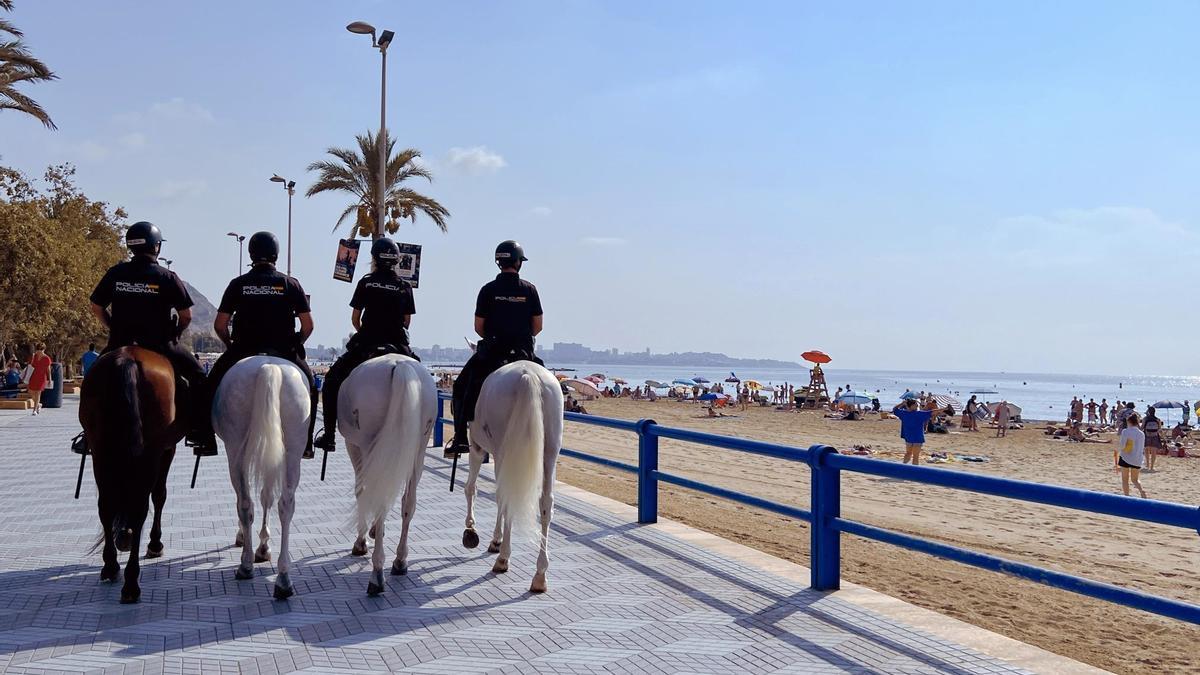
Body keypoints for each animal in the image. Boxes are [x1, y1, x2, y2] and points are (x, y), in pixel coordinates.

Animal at [79, 343, 183, 600]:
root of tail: (126, 360)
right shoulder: (167, 449)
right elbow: (159, 495)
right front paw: (154, 543)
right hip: (153, 449)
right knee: (140, 507)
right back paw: (131, 581)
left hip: (100, 448)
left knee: (106, 506)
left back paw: (111, 567)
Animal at [214, 355, 312, 595]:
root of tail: (269, 366)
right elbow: (267, 496)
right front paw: (264, 545)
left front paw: (248, 540)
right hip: (293, 447)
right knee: (285, 504)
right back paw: (284, 579)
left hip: (235, 449)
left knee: (244, 503)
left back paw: (246, 565)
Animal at [338, 353, 436, 593]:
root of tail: (399, 366)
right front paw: (374, 531)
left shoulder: (354, 446)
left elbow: (362, 492)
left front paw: (362, 541)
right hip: (417, 450)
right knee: (408, 502)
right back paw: (400, 561)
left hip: (369, 444)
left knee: (378, 494)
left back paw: (377, 574)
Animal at [463, 360, 566, 590]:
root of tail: (529, 375)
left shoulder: (477, 448)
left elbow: (473, 488)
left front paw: (474, 530)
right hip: (550, 453)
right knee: (546, 504)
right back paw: (540, 574)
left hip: (502, 450)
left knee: (505, 495)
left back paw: (503, 558)